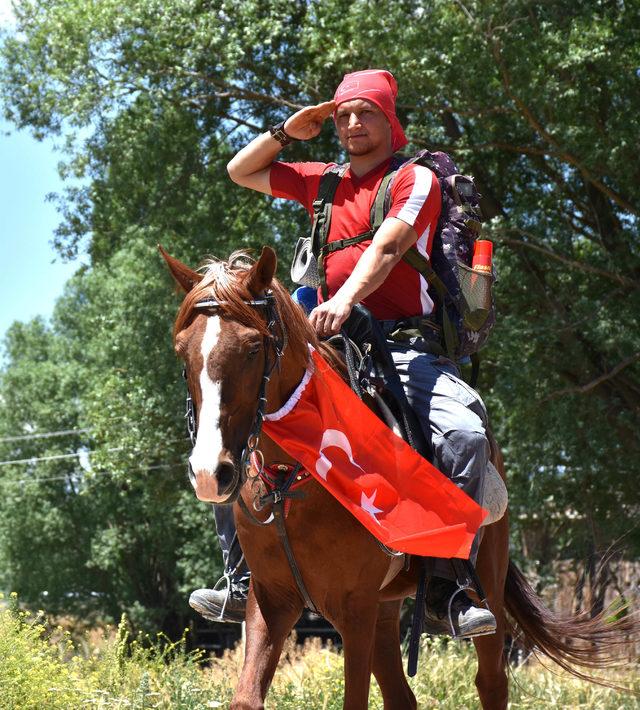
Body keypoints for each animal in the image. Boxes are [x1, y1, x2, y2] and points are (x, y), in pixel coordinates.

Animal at [162, 246, 632, 710]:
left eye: (252, 347)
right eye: (183, 354)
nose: (210, 472)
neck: (294, 487)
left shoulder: (354, 608)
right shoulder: (272, 600)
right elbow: (246, 697)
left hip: (486, 593)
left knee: (491, 682)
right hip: (385, 610)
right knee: (402, 696)